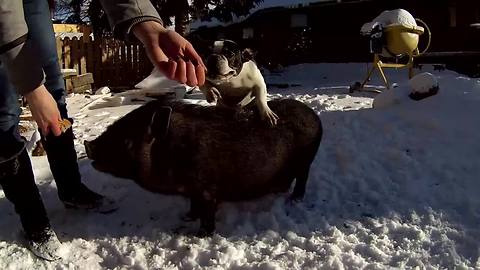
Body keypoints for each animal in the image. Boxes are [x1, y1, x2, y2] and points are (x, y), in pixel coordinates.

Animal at [85, 98, 322, 235]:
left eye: (127, 141)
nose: (88, 144)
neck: (173, 150)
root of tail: (314, 115)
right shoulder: (192, 191)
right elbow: (193, 206)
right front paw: (187, 217)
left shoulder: (207, 188)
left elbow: (207, 214)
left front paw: (198, 234)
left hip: (306, 161)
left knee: (303, 177)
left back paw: (295, 199)